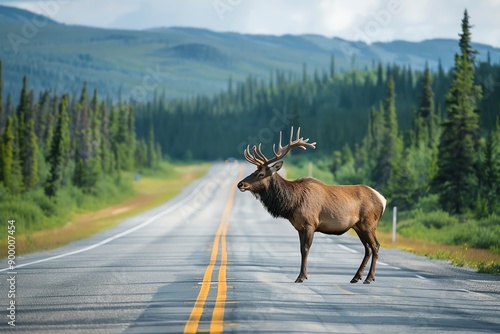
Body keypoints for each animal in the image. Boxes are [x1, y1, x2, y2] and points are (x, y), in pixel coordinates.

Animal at [238, 126, 386, 284]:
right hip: (358, 226)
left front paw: (301, 276)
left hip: (369, 223)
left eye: (260, 174)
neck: (291, 204)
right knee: (368, 248)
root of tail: (383, 200)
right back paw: (356, 277)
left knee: (375, 246)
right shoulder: (299, 227)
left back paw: (369, 278)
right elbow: (300, 250)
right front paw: (302, 275)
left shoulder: (310, 224)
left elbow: (306, 250)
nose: (240, 184)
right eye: (255, 170)